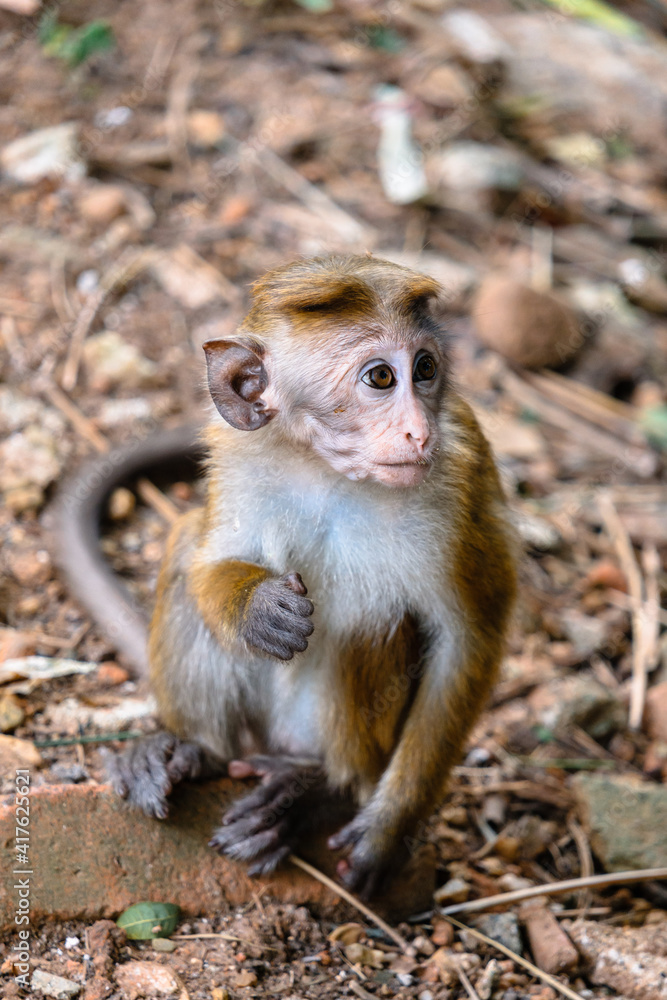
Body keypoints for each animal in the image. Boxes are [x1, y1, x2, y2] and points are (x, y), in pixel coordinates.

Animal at [56, 254, 516, 896]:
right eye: (380, 378)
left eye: (425, 369)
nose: (419, 432)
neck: (326, 469)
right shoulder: (238, 455)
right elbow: (209, 562)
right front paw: (260, 609)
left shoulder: (456, 482)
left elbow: (467, 640)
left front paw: (387, 825)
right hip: (253, 731)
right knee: (183, 552)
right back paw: (190, 751)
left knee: (376, 618)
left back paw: (315, 792)